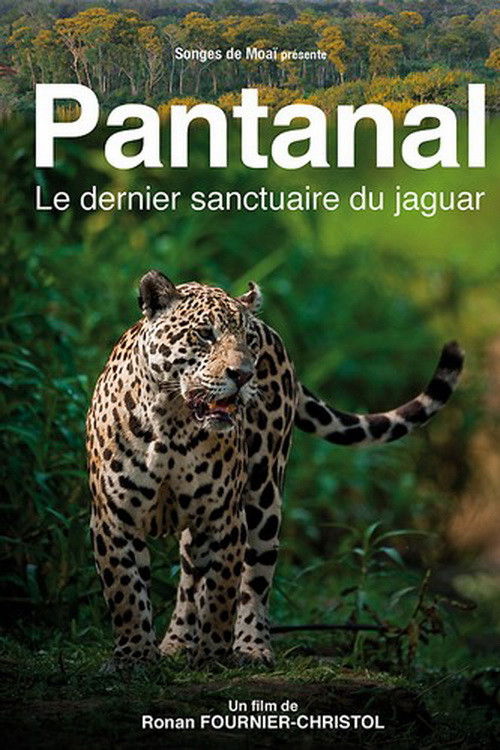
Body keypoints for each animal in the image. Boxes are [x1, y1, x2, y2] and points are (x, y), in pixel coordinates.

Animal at [86, 270, 464, 668]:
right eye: (205, 334)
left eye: (247, 340)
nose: (242, 374)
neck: (172, 423)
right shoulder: (114, 517)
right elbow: (126, 591)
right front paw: (134, 656)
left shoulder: (226, 518)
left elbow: (222, 592)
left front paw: (214, 654)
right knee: (190, 577)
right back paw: (176, 643)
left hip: (264, 497)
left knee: (252, 577)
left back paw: (251, 646)